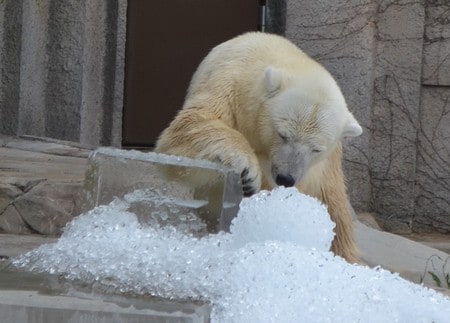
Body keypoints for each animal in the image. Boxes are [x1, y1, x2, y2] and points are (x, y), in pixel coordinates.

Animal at [155, 32, 362, 264]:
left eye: (316, 149)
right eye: (283, 134)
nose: (285, 178)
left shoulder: (324, 167)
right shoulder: (226, 83)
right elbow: (187, 129)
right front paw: (248, 173)